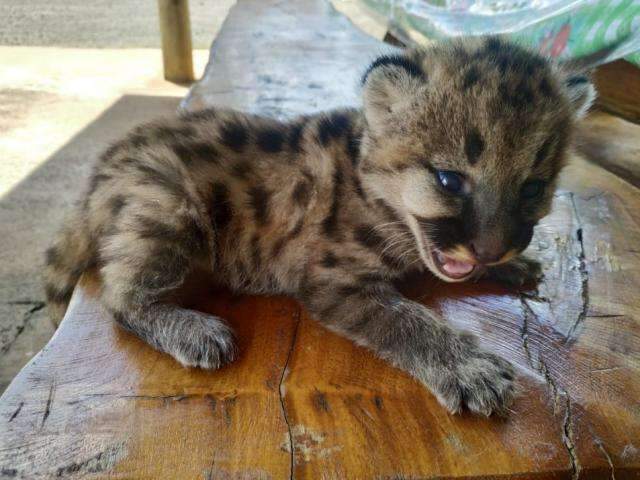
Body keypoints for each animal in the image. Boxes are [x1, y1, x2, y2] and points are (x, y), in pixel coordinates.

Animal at [43, 37, 596, 414]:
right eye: (448, 179)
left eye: (532, 188)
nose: (491, 248)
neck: (374, 187)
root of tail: (104, 167)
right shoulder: (332, 279)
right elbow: (405, 318)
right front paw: (467, 366)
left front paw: (515, 264)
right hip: (167, 203)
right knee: (119, 298)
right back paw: (192, 329)